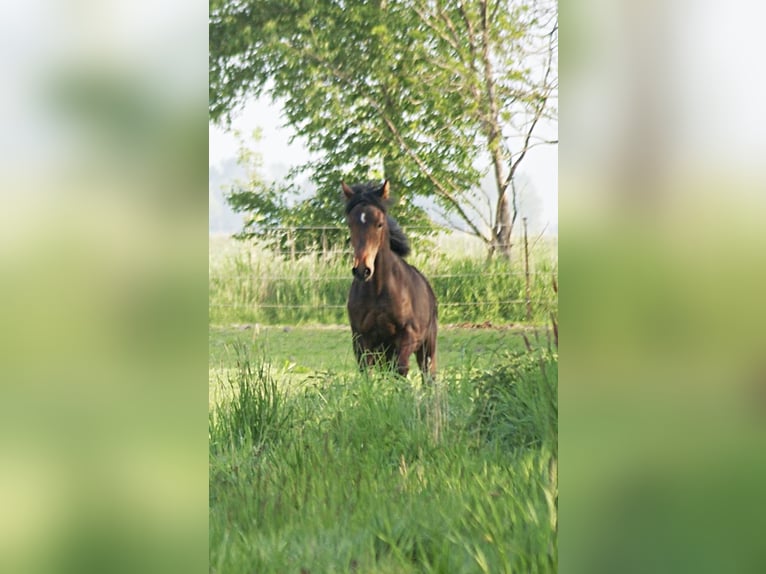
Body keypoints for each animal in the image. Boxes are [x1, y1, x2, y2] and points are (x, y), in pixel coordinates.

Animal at [342, 181, 438, 382]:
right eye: (350, 224)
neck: (378, 290)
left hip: (427, 347)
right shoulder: (361, 339)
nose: (362, 270)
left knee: (428, 377)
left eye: (379, 224)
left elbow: (400, 371)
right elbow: (367, 374)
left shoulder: (407, 336)